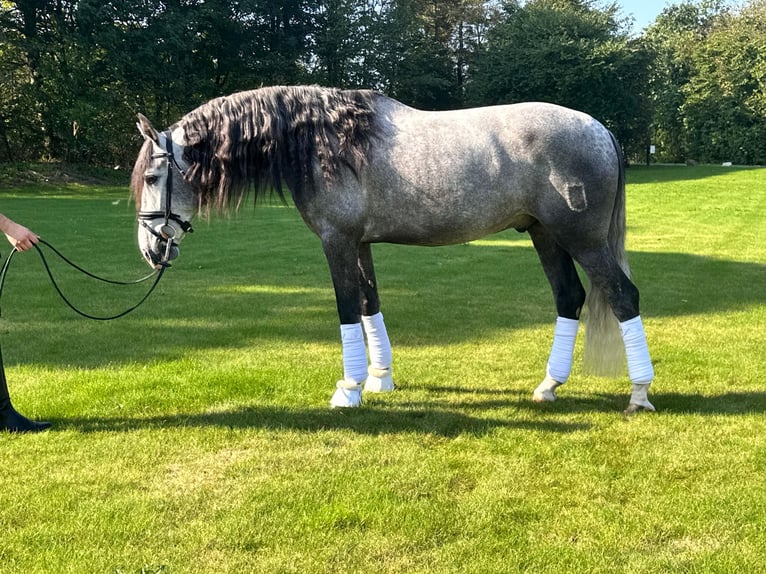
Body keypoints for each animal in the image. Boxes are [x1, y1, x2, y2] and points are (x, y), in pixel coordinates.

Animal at [130, 85, 655, 414]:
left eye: (154, 177)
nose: (150, 251)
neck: (325, 142)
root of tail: (600, 129)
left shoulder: (337, 242)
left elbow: (346, 309)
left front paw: (347, 390)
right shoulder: (360, 244)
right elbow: (369, 305)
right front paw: (379, 379)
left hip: (582, 240)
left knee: (623, 297)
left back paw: (639, 394)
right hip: (545, 234)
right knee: (569, 297)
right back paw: (548, 387)